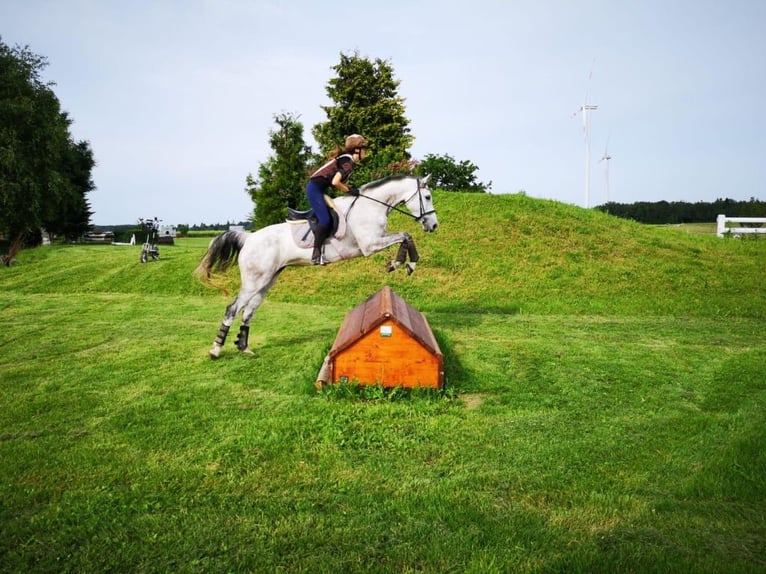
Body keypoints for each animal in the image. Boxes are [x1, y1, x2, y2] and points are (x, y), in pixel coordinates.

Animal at [195, 173, 440, 358]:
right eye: (427, 197)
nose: (434, 225)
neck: (371, 206)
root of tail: (249, 238)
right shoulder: (370, 245)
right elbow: (405, 235)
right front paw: (402, 263)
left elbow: (406, 236)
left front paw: (405, 264)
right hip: (254, 281)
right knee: (233, 308)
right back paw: (216, 350)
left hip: (267, 280)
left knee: (249, 311)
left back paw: (243, 347)